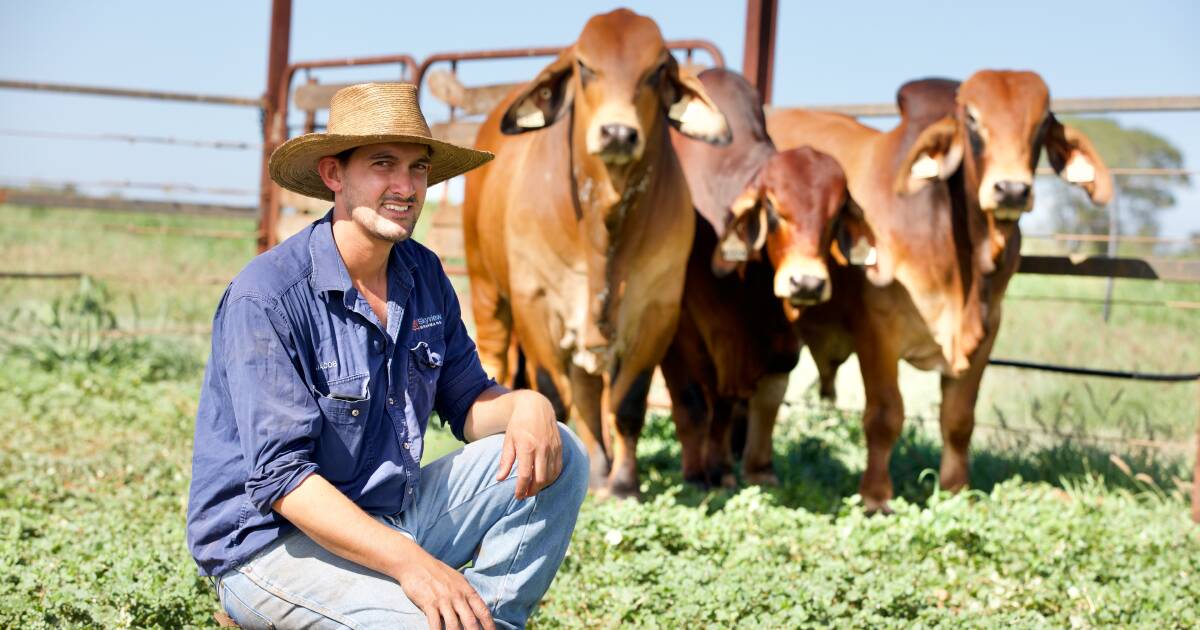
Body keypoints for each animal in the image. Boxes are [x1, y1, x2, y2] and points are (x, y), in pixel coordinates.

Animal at [463, 6, 729, 496]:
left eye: (656, 71)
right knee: (497, 358)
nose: (618, 133)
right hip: (485, 286)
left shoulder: (658, 312)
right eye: (585, 67)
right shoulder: (535, 305)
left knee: (589, 392)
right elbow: (551, 394)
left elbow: (626, 404)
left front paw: (622, 482)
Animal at [667, 68, 854, 489]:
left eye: (836, 215)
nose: (807, 284)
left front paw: (758, 468)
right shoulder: (685, 330)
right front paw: (707, 471)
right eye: (773, 208)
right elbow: (702, 398)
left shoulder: (780, 335)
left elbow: (767, 395)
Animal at [768, 69, 1113, 511]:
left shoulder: (987, 331)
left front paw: (956, 490)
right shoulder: (877, 332)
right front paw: (876, 496)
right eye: (972, 119)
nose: (1011, 190)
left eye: (1041, 124)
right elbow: (885, 414)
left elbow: (959, 419)